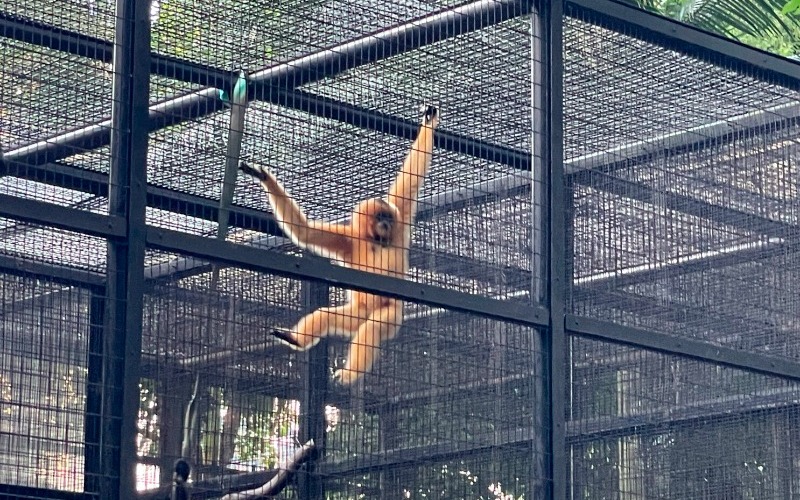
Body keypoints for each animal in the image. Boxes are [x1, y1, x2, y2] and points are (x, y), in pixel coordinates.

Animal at [239, 105, 439, 385]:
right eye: (380, 217)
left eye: (388, 217)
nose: (386, 223)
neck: (374, 240)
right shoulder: (350, 239)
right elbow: (306, 233)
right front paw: (264, 177)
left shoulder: (399, 224)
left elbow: (410, 180)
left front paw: (429, 122)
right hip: (354, 312)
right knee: (326, 315)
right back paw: (296, 339)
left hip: (391, 313)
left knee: (372, 327)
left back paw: (349, 373)